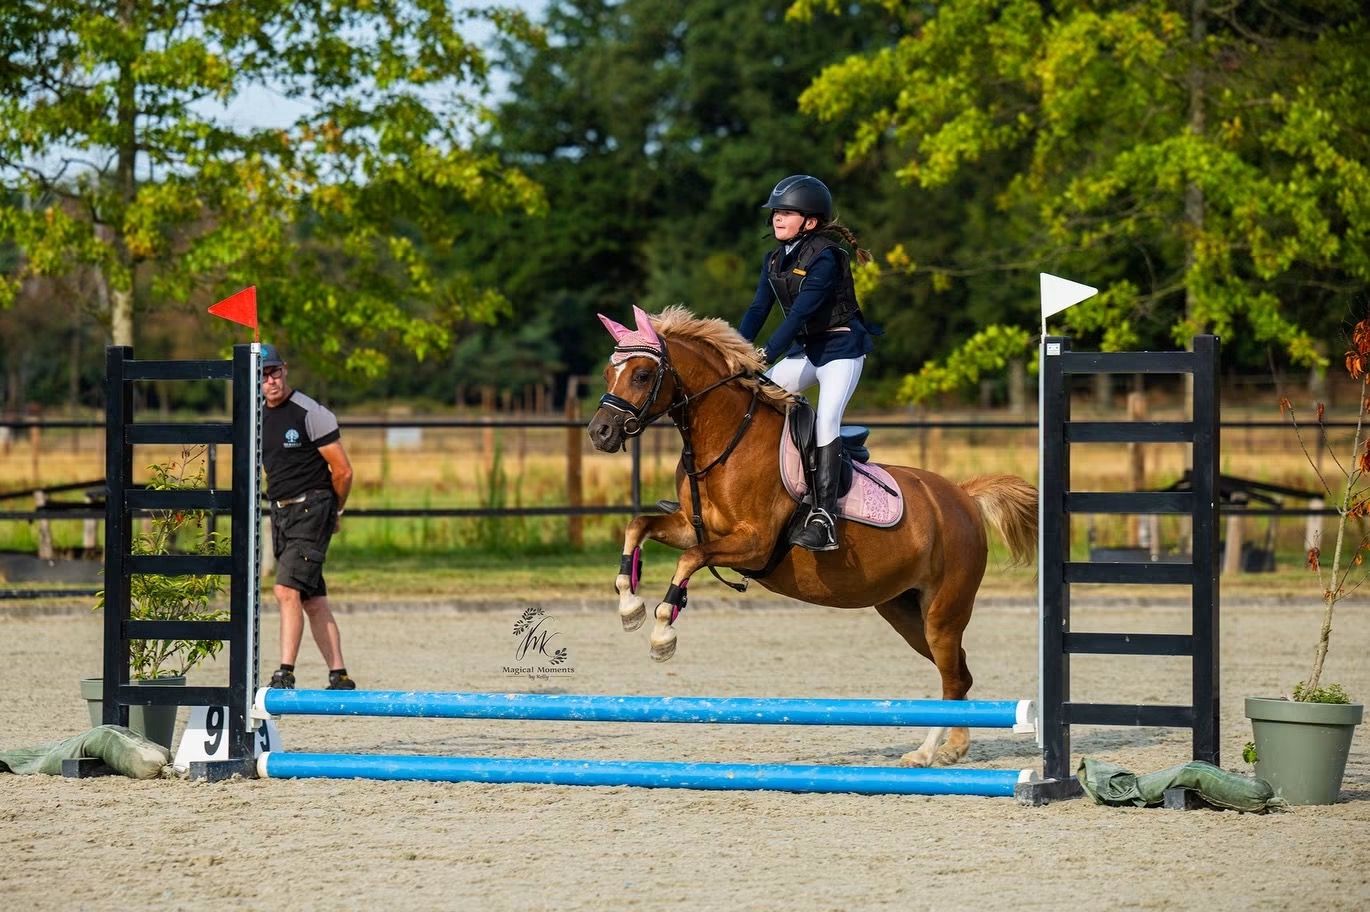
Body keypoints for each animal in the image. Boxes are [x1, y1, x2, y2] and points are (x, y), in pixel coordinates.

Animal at [586, 305, 1037, 767]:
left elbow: (688, 560)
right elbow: (638, 528)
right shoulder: (691, 528)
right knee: (958, 672)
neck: (726, 441)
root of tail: (962, 496)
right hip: (904, 610)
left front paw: (662, 632)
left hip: (943, 612)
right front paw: (630, 606)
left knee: (952, 676)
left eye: (642, 375)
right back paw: (948, 747)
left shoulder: (753, 544)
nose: (600, 432)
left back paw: (932, 751)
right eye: (608, 373)